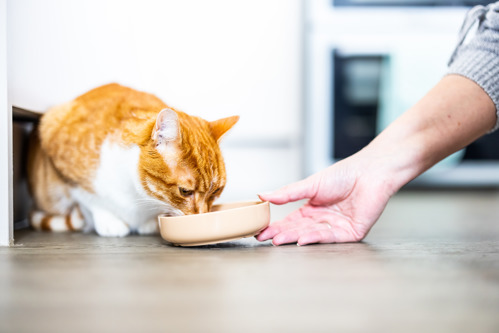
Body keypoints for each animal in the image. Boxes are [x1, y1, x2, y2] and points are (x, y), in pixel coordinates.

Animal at [27, 84, 240, 237]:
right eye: (185, 191)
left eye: (216, 192)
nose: (202, 216)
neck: (139, 197)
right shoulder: (64, 163)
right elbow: (90, 200)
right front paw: (109, 222)